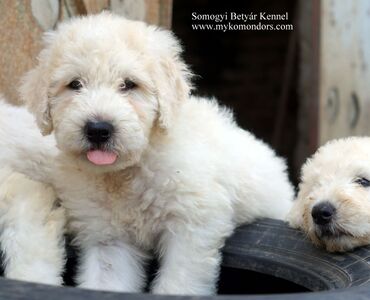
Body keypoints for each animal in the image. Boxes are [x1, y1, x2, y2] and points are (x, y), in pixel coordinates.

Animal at [0, 12, 294, 294]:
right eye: (75, 84)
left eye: (129, 84)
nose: (98, 129)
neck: (127, 173)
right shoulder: (110, 238)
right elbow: (108, 281)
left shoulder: (192, 225)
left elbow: (178, 283)